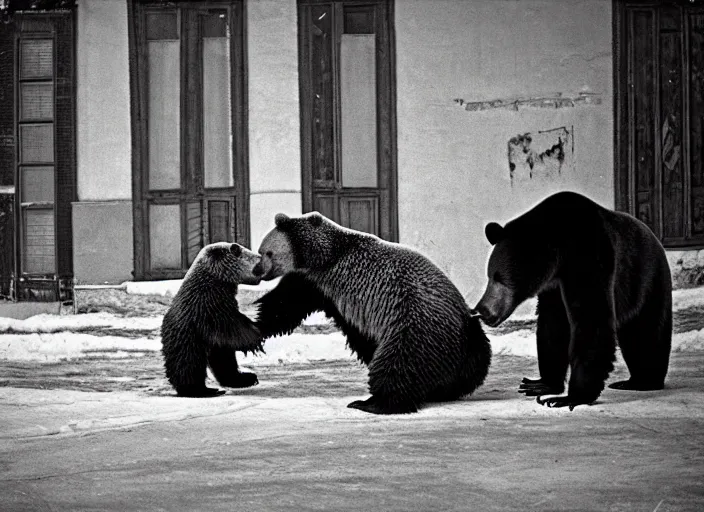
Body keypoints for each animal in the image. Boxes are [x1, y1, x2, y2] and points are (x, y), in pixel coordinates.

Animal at [161, 242, 266, 398]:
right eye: (259, 261)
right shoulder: (207, 300)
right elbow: (228, 322)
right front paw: (255, 339)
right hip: (187, 338)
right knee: (188, 363)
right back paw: (201, 389)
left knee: (224, 360)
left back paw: (244, 378)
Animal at [252, 212, 490, 416]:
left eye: (266, 252)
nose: (256, 271)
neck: (323, 253)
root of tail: (464, 329)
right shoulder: (322, 288)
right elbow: (286, 307)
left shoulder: (324, 278)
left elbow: (286, 304)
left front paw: (256, 328)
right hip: (471, 346)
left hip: (416, 325)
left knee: (399, 363)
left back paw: (373, 403)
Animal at [472, 190, 672, 410]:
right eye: (489, 275)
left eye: (498, 277)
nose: (482, 310)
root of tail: (655, 238)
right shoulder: (553, 287)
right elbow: (553, 325)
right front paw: (541, 384)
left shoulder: (589, 255)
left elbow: (591, 318)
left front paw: (569, 397)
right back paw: (628, 381)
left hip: (647, 280)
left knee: (647, 332)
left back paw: (644, 380)